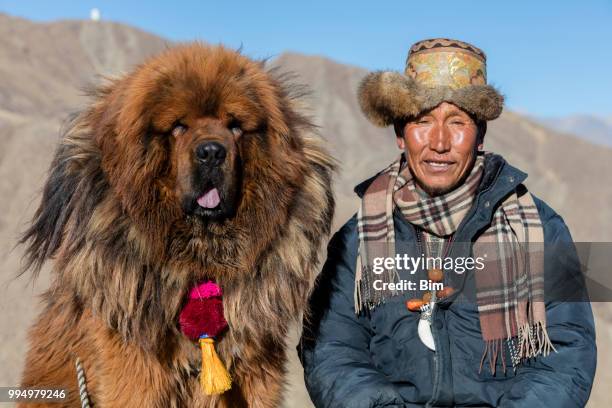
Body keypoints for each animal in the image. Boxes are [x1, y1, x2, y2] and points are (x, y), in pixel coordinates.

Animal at [17, 43, 334, 406]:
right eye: (179, 126)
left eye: (235, 126)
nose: (211, 152)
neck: (201, 261)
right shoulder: (135, 371)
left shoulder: (256, 371)